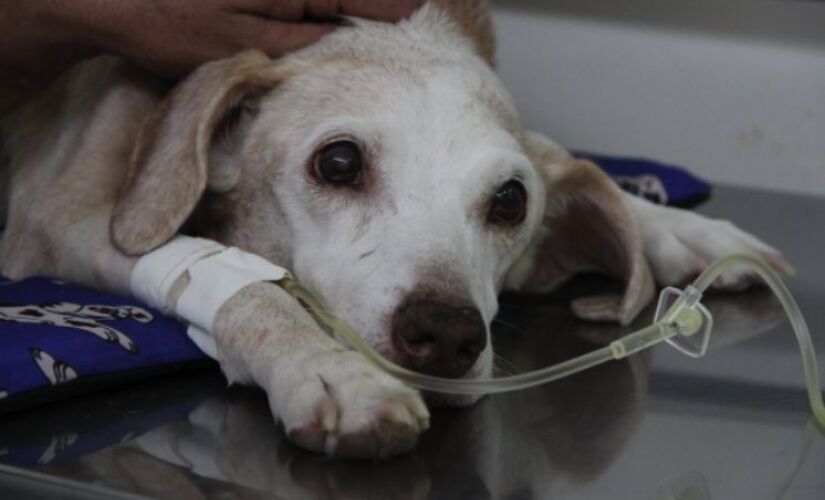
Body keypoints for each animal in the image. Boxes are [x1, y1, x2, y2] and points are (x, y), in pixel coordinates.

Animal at [0, 0, 784, 458]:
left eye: (510, 202)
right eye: (339, 161)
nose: (445, 335)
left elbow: (565, 159)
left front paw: (684, 228)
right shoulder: (64, 215)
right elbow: (253, 288)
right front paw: (332, 372)